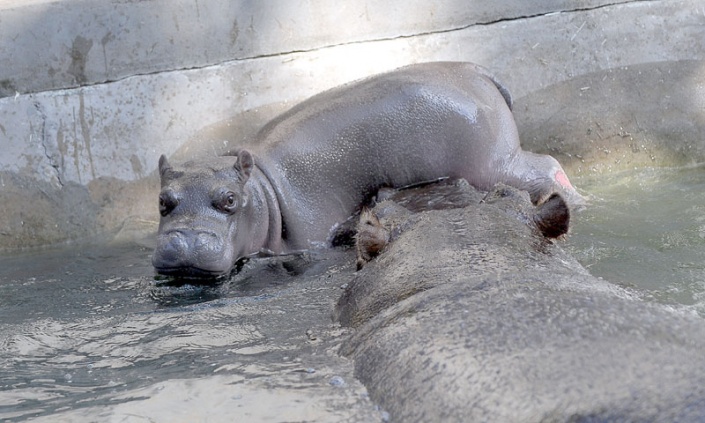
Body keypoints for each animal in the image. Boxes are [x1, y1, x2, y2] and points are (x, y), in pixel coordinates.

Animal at [153, 60, 576, 278]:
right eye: (162, 202)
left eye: (229, 200)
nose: (184, 241)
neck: (261, 188)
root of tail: (478, 71)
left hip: (494, 164)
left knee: (545, 169)